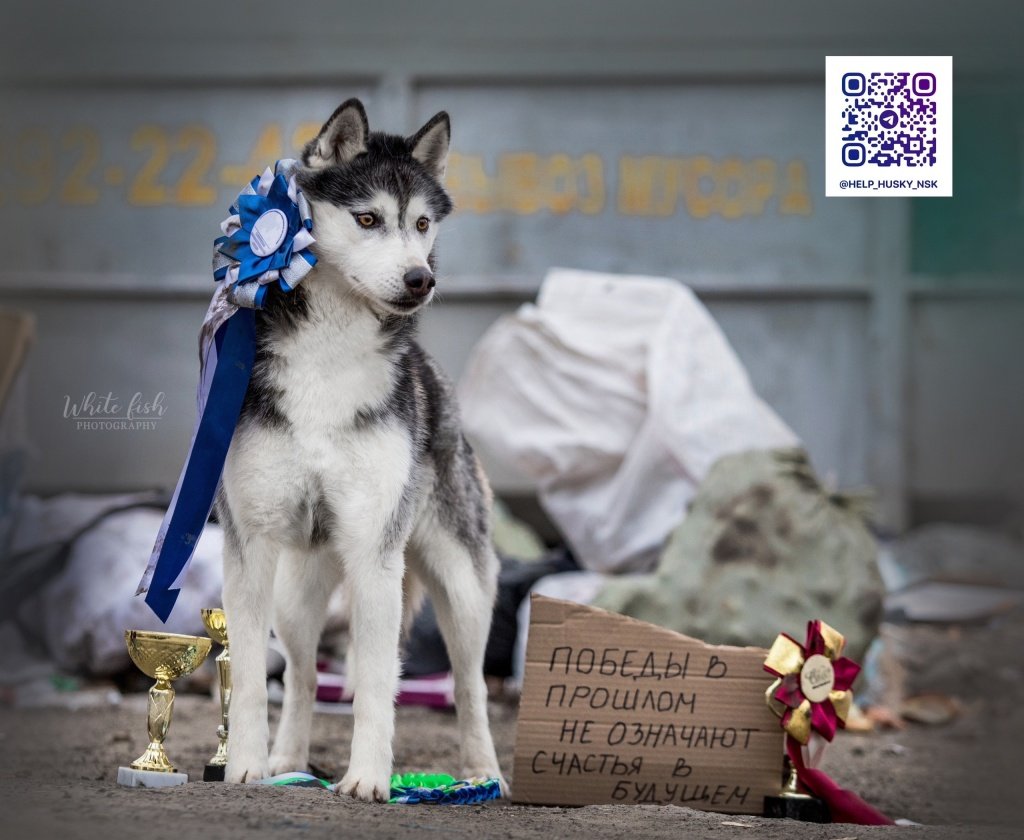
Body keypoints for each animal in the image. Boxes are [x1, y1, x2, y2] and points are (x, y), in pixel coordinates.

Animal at [219, 99, 503, 799]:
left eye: (421, 223)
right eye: (368, 219)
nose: (420, 278)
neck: (328, 359)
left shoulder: (376, 551)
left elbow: (378, 684)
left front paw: (369, 779)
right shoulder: (250, 544)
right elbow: (248, 679)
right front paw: (244, 766)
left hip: (462, 588)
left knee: (470, 683)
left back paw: (483, 772)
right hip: (297, 594)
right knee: (299, 676)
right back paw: (286, 761)